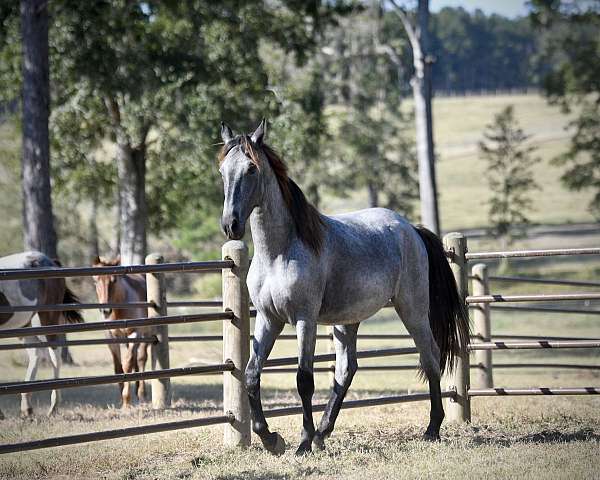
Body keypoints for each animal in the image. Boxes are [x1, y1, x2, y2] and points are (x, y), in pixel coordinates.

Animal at [0, 251, 82, 416]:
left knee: (54, 356)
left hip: (47, 319)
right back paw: (27, 407)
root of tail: (50, 261)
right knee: (35, 353)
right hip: (25, 324)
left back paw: (53, 406)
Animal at [94, 256, 151, 406]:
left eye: (114, 281)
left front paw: (126, 400)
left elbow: (127, 364)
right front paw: (121, 399)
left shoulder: (134, 333)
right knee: (136, 359)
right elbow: (118, 367)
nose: (105, 311)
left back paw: (142, 395)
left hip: (145, 333)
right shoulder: (111, 337)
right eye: (95, 281)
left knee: (141, 359)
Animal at [218, 119, 472, 454]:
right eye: (222, 170)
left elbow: (304, 379)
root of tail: (411, 229)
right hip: (348, 320)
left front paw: (302, 443)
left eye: (251, 169)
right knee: (346, 369)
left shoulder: (305, 320)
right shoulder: (268, 319)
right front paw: (272, 439)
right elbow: (250, 375)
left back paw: (432, 428)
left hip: (412, 310)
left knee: (429, 356)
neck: (280, 251)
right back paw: (324, 432)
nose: (230, 225)